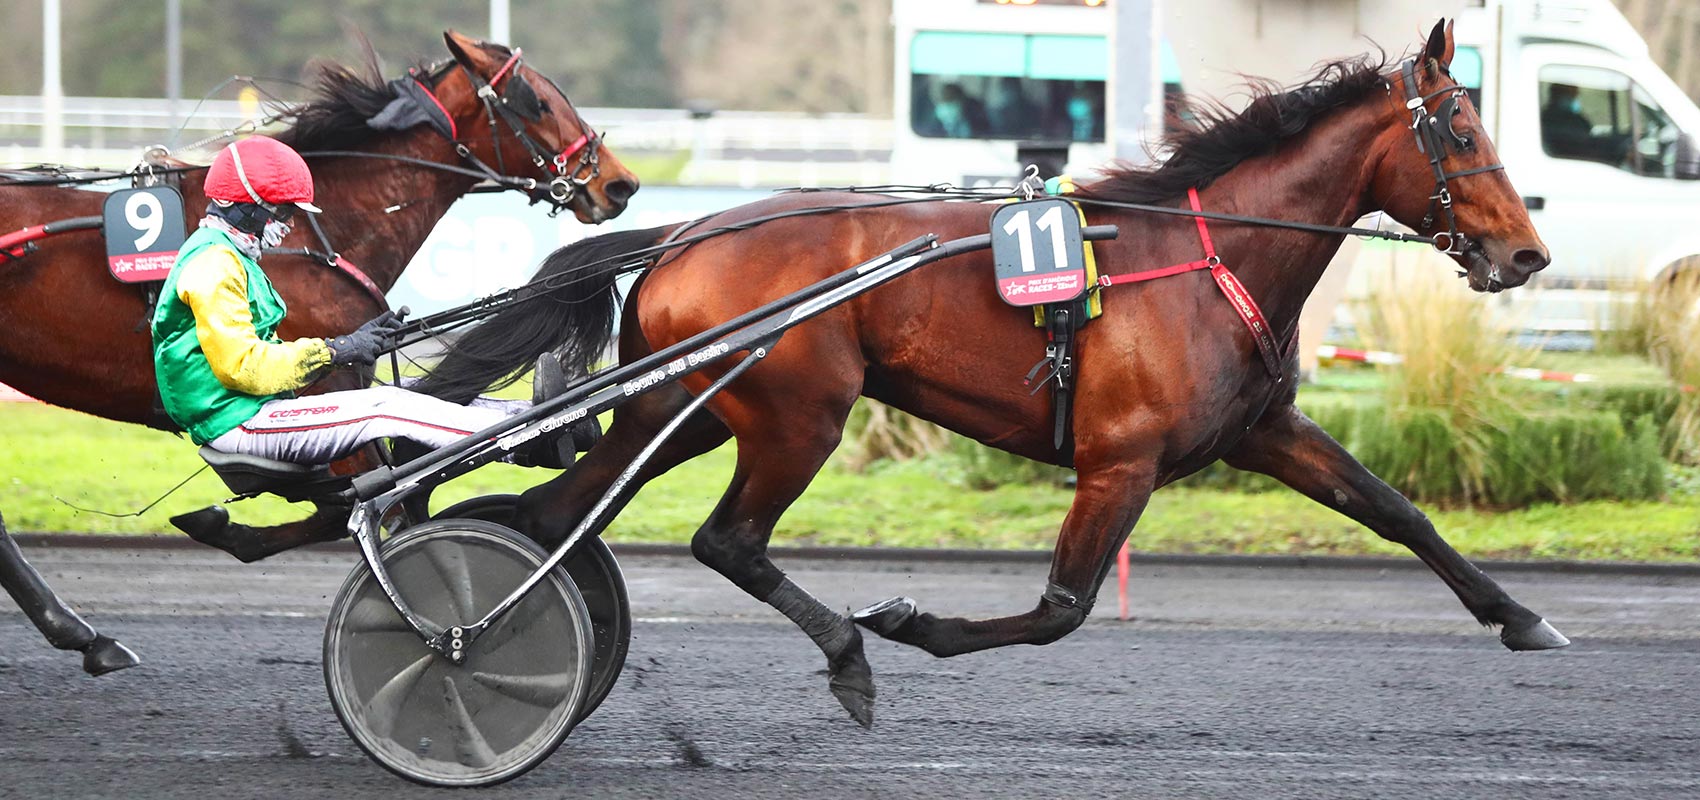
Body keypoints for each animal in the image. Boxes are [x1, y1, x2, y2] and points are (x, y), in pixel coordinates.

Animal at [0, 31, 639, 676]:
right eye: (536, 102)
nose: (620, 184)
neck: (315, 238)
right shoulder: (326, 400)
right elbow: (368, 506)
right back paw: (83, 633)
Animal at [421, 20, 1564, 726]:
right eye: (1459, 127)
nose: (1525, 255)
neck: (1209, 261)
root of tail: (687, 229)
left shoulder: (1262, 430)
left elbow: (1395, 510)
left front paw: (1522, 617)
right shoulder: (1119, 461)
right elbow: (1061, 607)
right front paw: (909, 624)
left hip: (685, 404)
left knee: (555, 512)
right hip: (799, 413)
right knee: (724, 538)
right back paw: (845, 654)